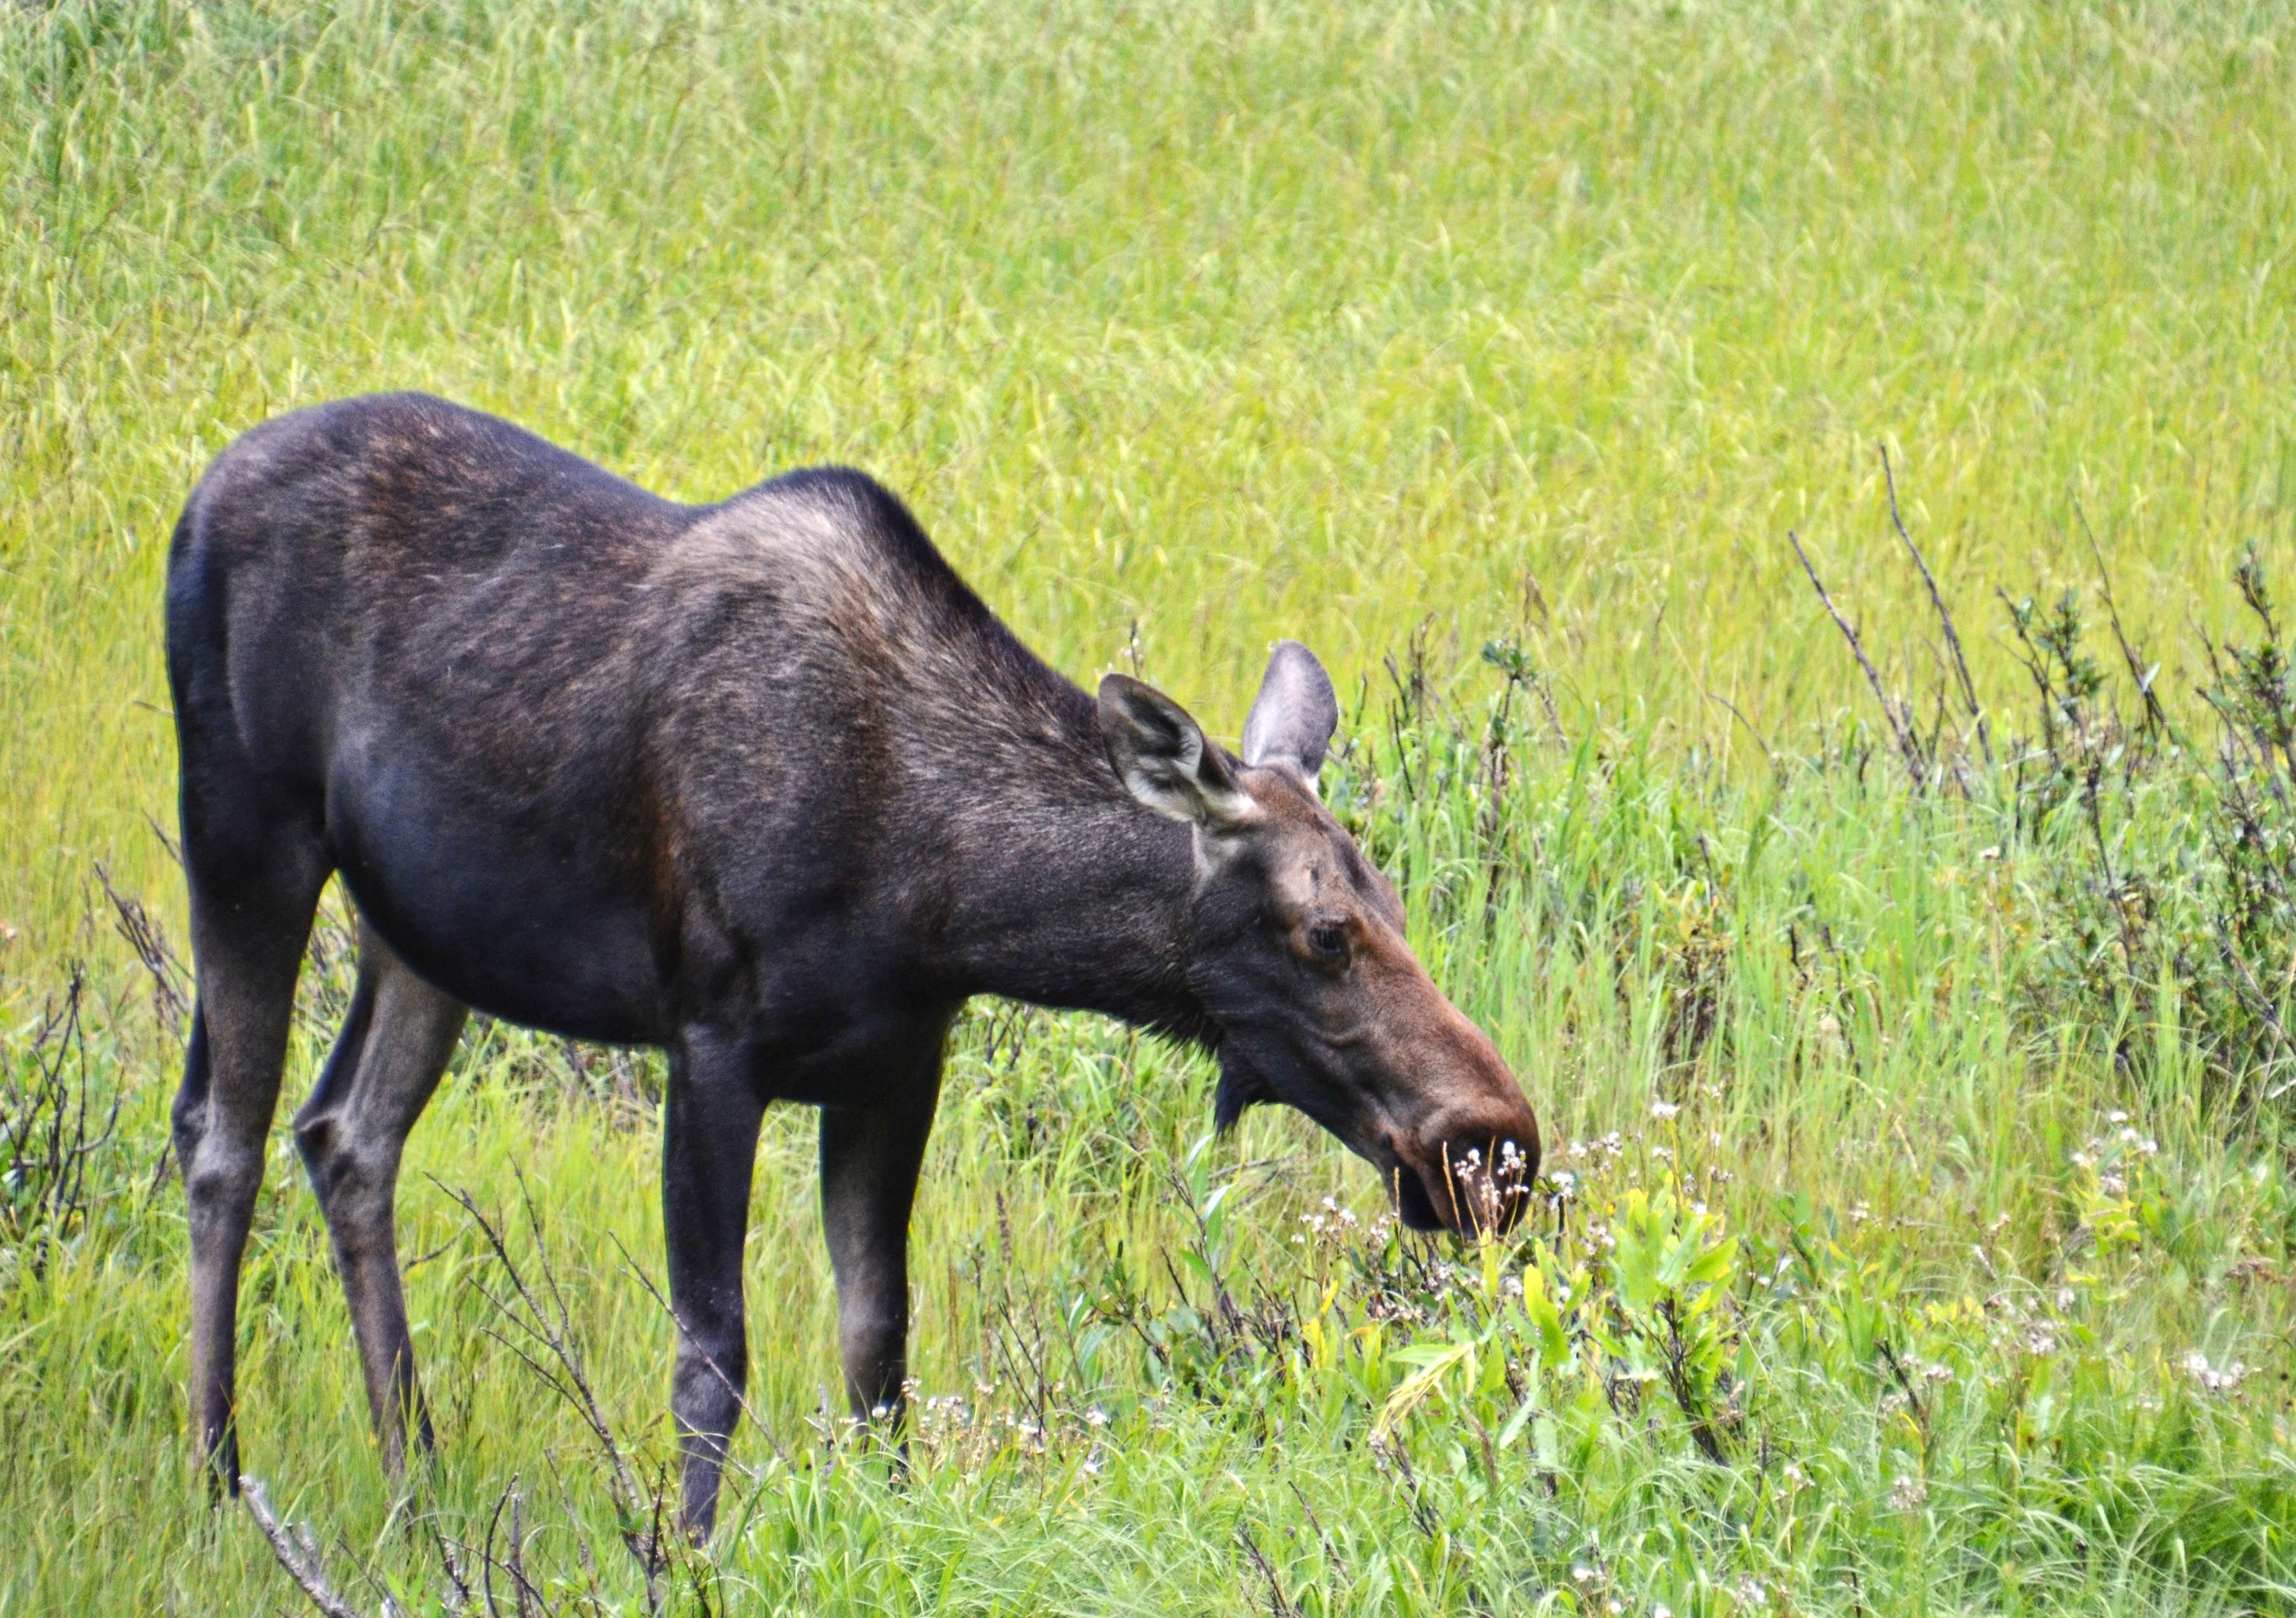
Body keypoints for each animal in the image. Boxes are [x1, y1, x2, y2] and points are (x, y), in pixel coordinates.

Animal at [164, 392, 1541, 1536]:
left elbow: (878, 1337)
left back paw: (417, 1474)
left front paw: (886, 1521)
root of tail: (198, 495)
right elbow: (711, 1350)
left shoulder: (896, 1060)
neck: (946, 890)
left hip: (416, 926)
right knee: (223, 1135)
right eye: (1326, 930)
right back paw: (221, 1473)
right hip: (245, 833)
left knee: (346, 1132)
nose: (1494, 1143)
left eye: (1394, 900)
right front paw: (689, 1551)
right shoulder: (709, 1040)